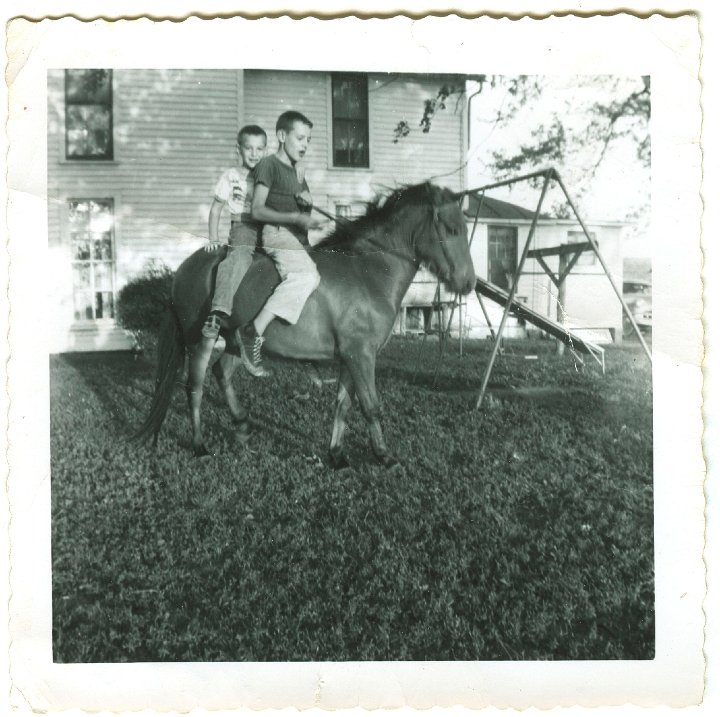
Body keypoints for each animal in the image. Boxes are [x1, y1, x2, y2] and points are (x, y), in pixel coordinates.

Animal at [133, 182, 475, 468]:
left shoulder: (350, 358)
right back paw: (200, 445)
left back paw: (242, 425)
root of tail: (184, 268)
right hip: (201, 340)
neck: (367, 270)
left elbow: (343, 405)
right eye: (452, 228)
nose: (469, 283)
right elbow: (371, 406)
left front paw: (337, 455)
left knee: (222, 374)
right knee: (195, 387)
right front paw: (384, 456)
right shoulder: (361, 356)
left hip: (234, 340)